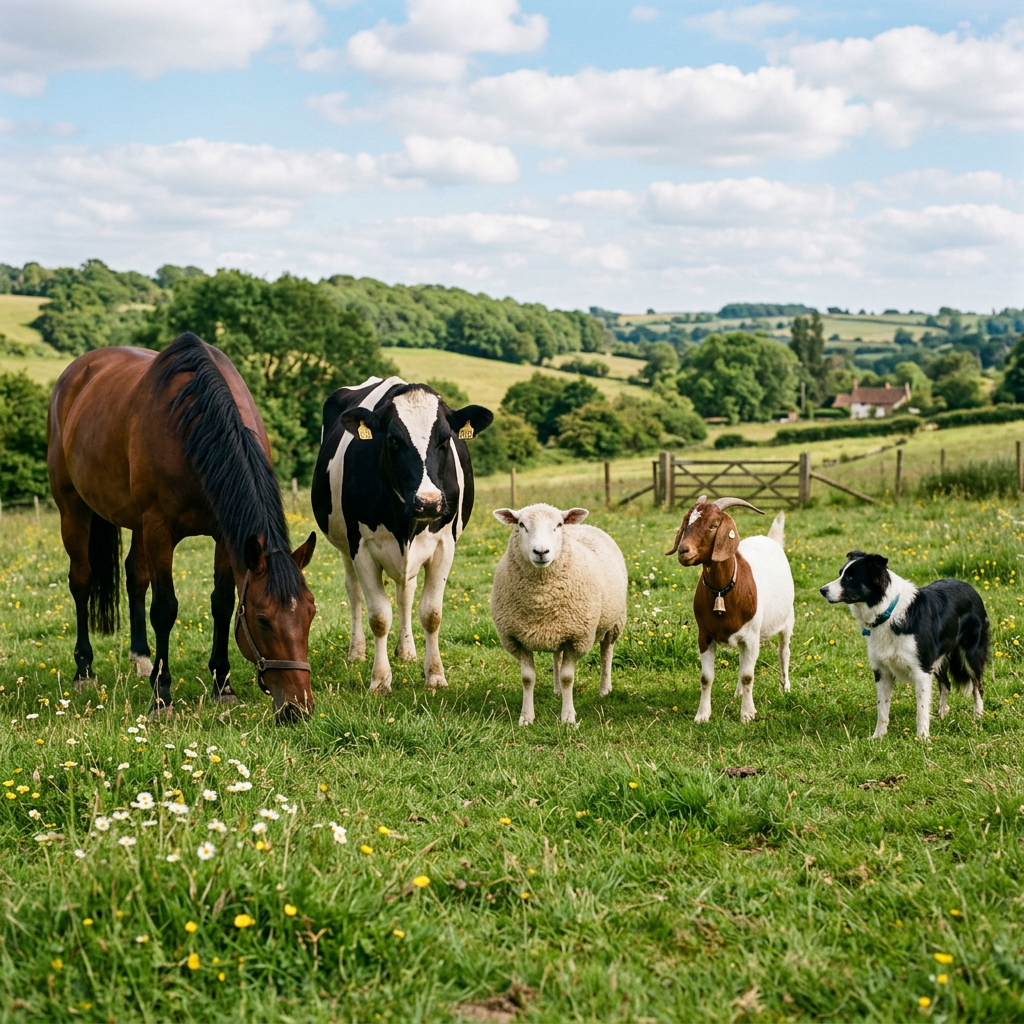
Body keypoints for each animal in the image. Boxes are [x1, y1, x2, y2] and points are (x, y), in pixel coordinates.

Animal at [47, 332, 317, 720]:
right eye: (263, 619)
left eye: (310, 612)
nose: (298, 708)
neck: (194, 428)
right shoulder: (160, 529)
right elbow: (164, 609)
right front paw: (161, 694)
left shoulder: (225, 536)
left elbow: (222, 603)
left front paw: (223, 684)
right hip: (73, 509)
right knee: (81, 580)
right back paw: (84, 670)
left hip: (135, 523)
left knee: (135, 576)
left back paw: (141, 659)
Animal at [311, 376, 493, 693]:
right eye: (394, 440)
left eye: (444, 440)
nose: (429, 502)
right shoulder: (361, 546)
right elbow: (379, 616)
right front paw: (380, 679)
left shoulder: (444, 544)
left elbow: (431, 613)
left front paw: (435, 675)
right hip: (344, 546)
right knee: (354, 592)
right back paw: (357, 651)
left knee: (405, 594)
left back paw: (406, 650)